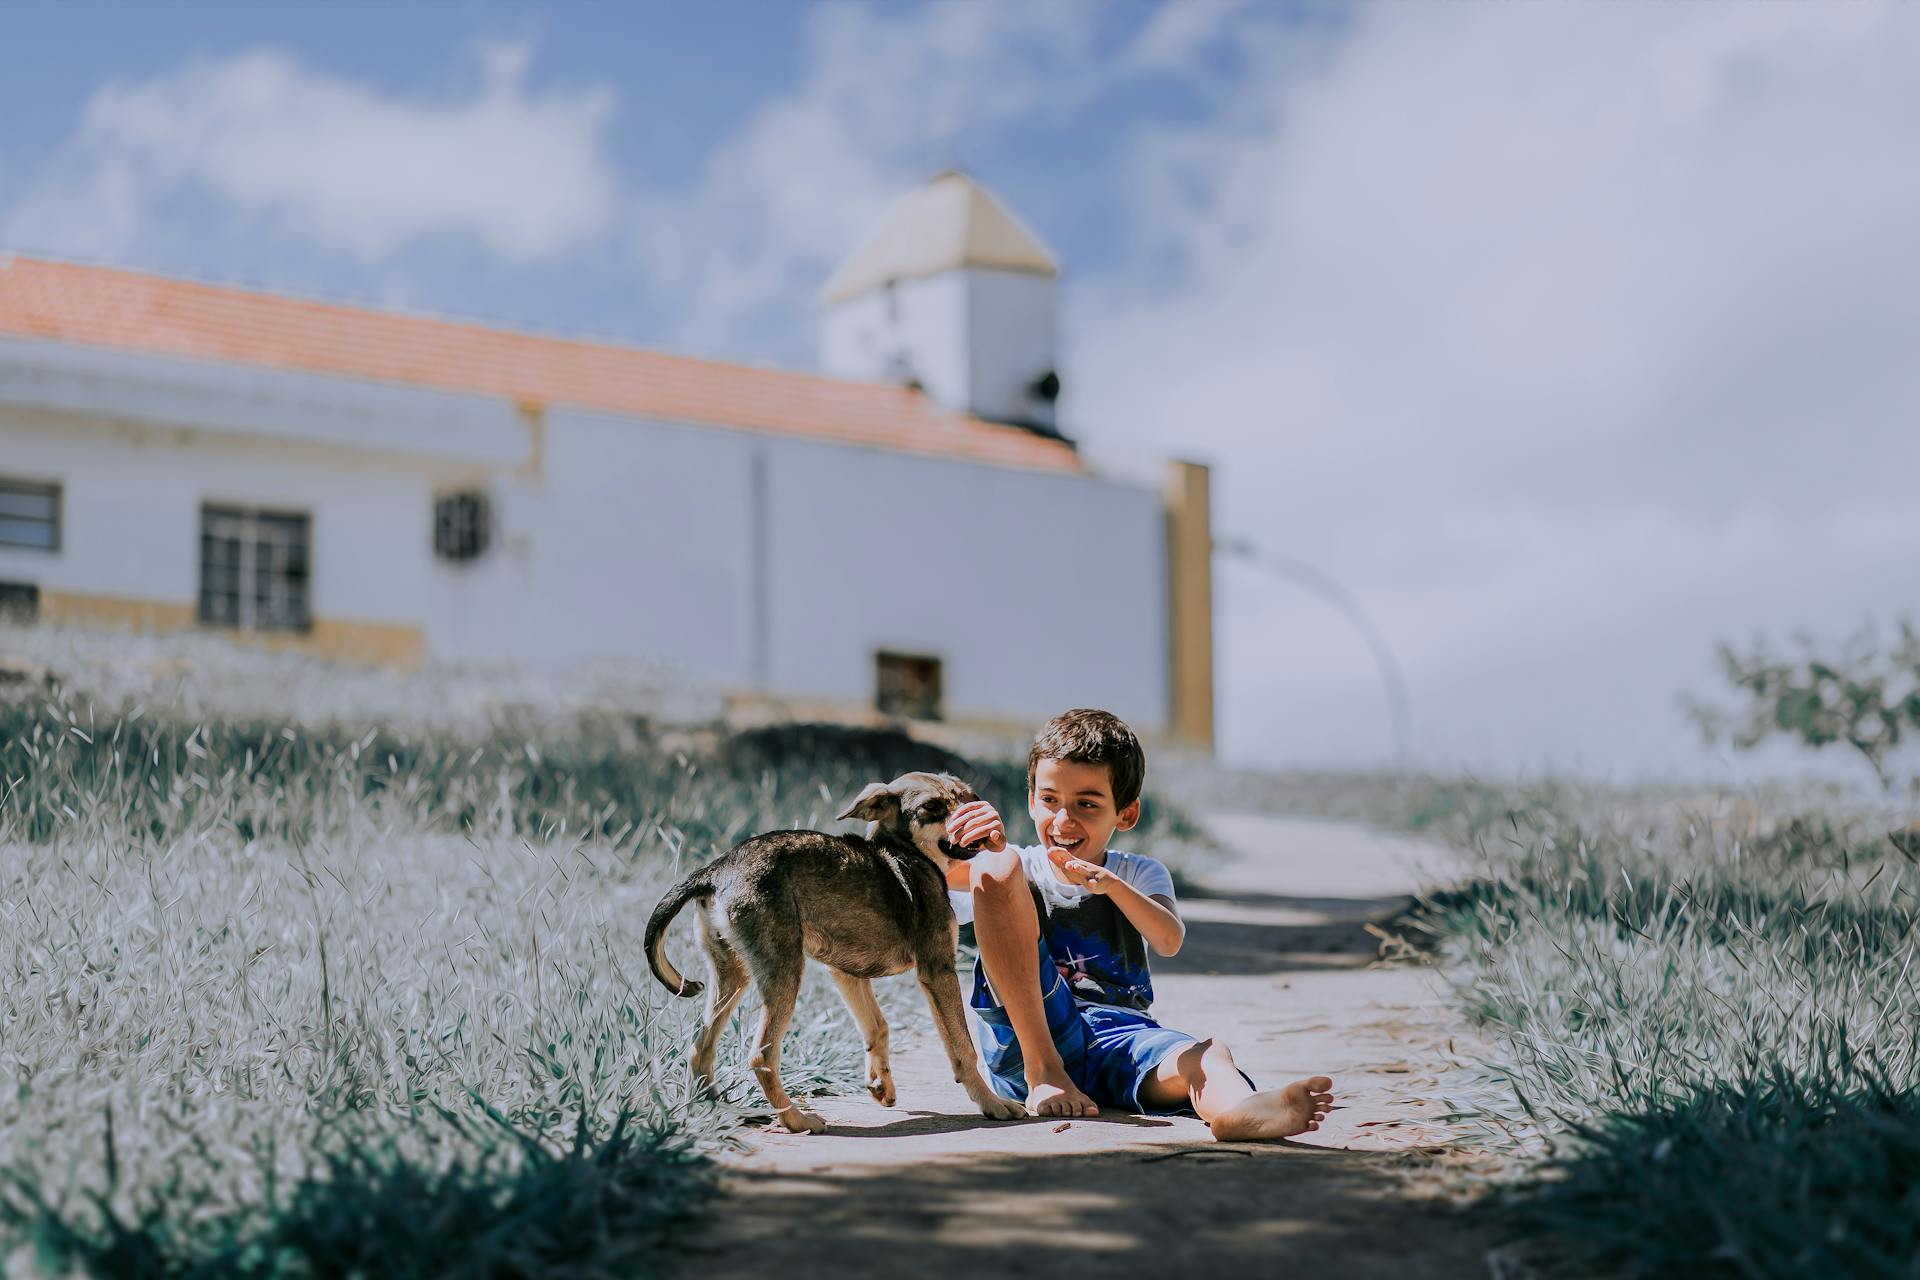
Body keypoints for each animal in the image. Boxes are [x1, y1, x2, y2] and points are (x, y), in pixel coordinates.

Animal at [645, 771, 1029, 1128]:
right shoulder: (938, 969)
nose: (975, 817)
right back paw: (796, 1120)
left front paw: (881, 1085)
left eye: (961, 797)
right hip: (784, 973)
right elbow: (963, 1048)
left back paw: (717, 1108)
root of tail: (716, 868)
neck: (906, 853)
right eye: (932, 807)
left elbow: (877, 1026)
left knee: (700, 1050)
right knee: (760, 1056)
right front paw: (993, 1104)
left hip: (732, 976)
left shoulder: (846, 973)